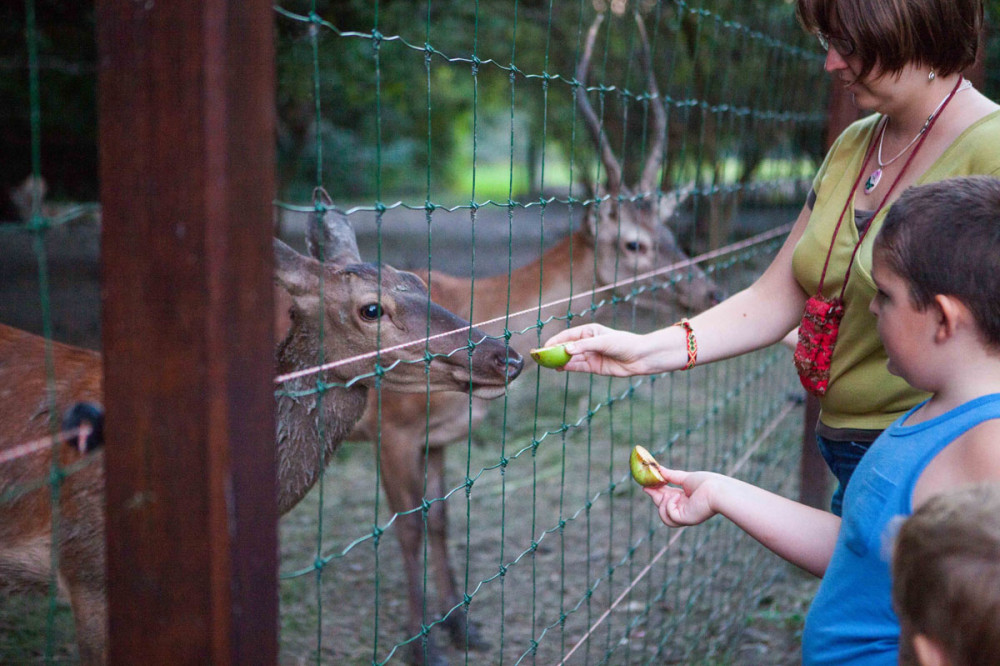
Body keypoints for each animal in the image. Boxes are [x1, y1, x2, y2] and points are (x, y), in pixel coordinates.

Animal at [348, 11, 724, 664]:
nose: (706, 289)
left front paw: (464, 627)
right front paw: (424, 647)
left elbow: (443, 520)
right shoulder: (391, 428)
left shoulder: (437, 438)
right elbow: (410, 528)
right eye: (633, 243)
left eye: (672, 231)